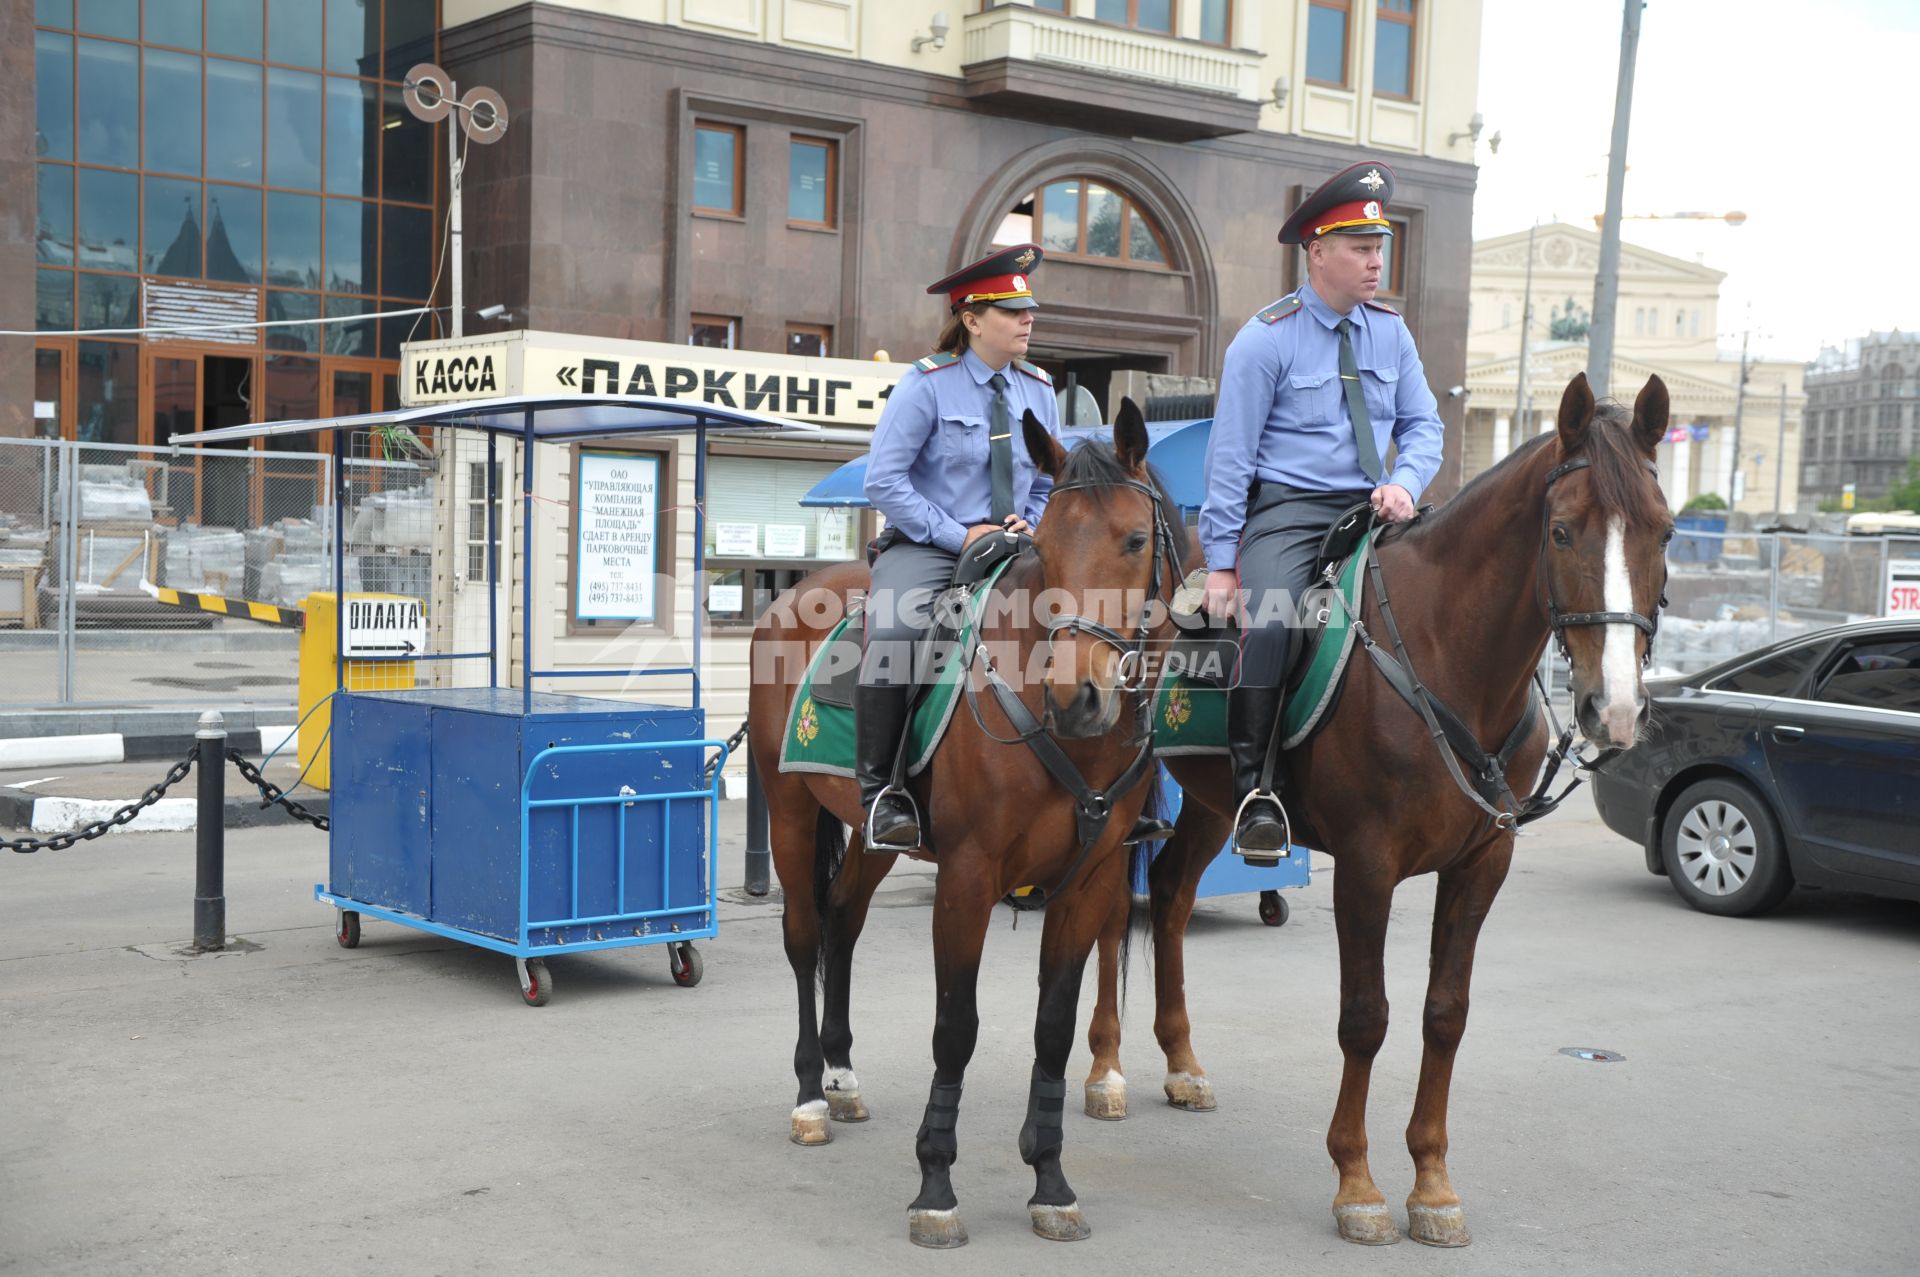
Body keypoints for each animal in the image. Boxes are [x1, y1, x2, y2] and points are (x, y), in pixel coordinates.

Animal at [744, 405, 1182, 1244]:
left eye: (1135, 540)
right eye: (1046, 545)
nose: (1076, 695)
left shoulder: (1088, 881)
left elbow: (1053, 1027)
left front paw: (1050, 1178)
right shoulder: (969, 878)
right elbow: (955, 1027)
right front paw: (936, 1185)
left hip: (874, 834)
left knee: (843, 918)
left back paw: (842, 1074)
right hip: (788, 811)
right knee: (805, 936)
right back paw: (811, 1093)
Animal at [1090, 370, 1674, 1244]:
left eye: (1664, 532)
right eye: (1564, 531)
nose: (1618, 709)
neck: (1449, 659)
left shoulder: (1481, 864)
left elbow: (1445, 1013)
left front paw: (1431, 1181)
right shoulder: (1367, 866)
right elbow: (1365, 1017)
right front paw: (1358, 1182)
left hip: (1211, 800)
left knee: (1167, 895)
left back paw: (1182, 1062)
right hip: (1112, 795)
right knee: (1102, 914)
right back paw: (1105, 1069)